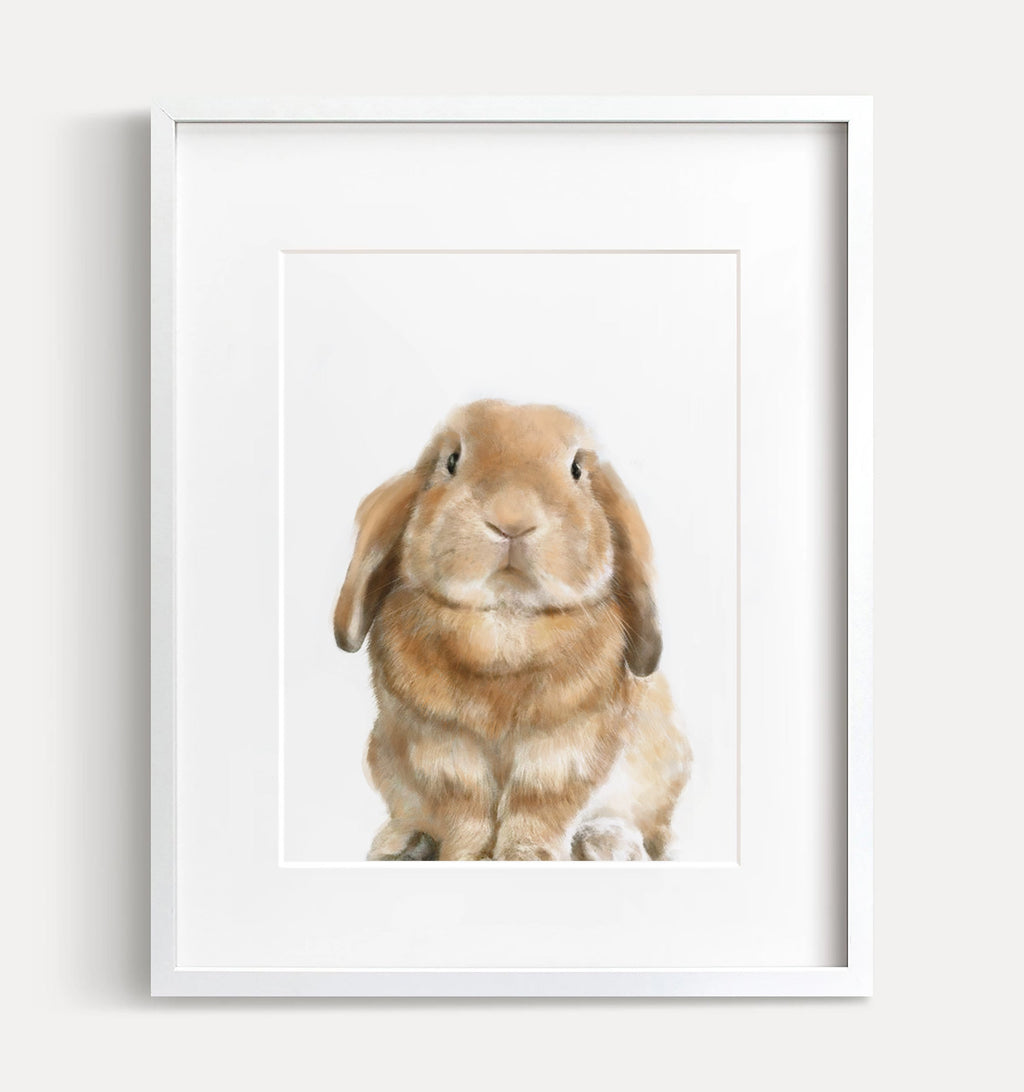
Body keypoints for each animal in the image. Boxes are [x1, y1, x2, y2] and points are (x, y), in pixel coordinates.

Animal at [333, 400, 692, 861]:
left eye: (576, 469)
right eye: (452, 461)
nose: (512, 520)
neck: (506, 621)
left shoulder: (565, 747)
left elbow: (538, 806)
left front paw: (527, 857)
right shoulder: (441, 747)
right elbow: (465, 808)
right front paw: (466, 857)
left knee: (645, 828)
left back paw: (607, 844)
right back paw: (400, 843)